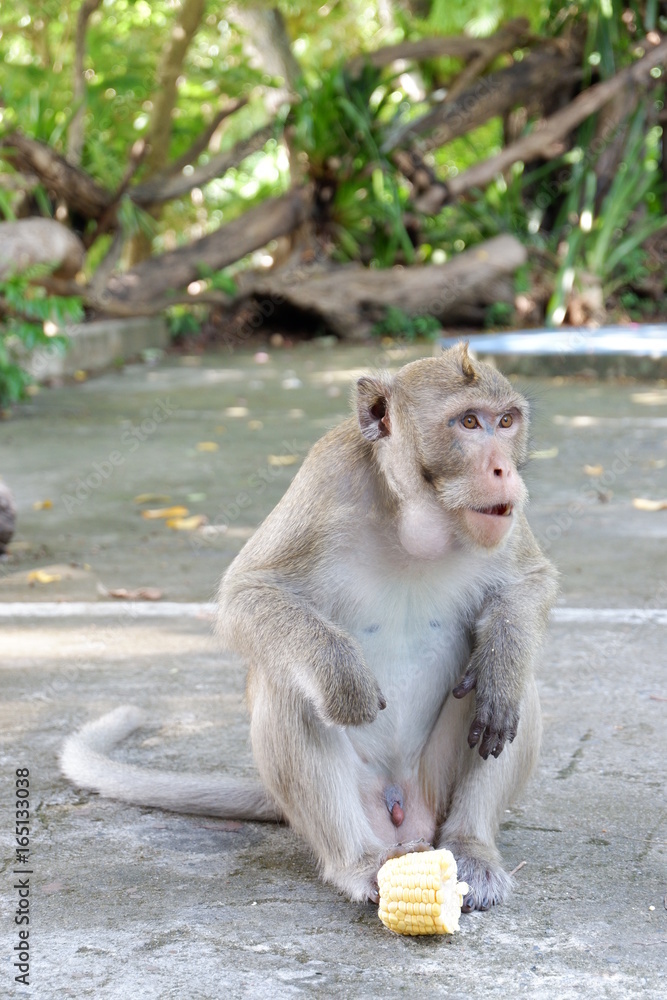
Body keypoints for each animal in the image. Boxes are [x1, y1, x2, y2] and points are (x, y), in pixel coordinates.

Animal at [61, 342, 557, 912]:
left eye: (506, 421)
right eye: (469, 422)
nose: (502, 469)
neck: (416, 519)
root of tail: (401, 810)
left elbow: (530, 582)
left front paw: (502, 661)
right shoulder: (326, 479)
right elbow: (248, 594)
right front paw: (341, 674)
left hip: (433, 788)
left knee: (514, 695)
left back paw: (471, 845)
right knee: (292, 688)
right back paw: (358, 863)